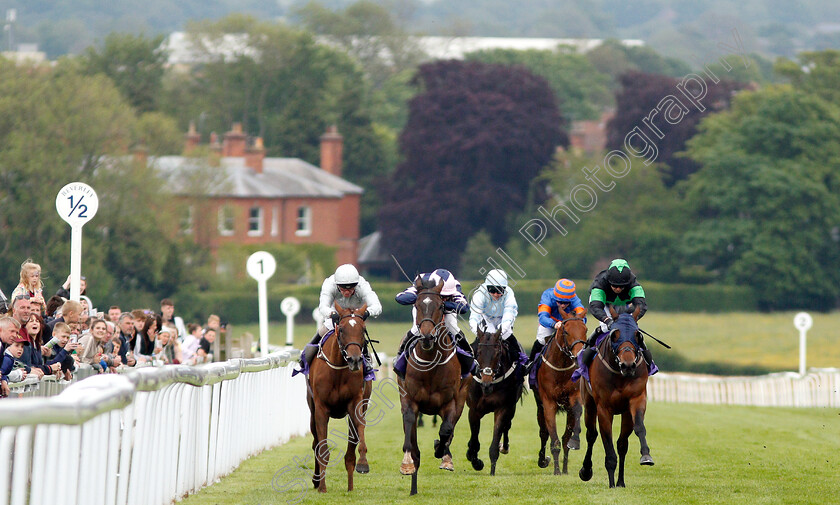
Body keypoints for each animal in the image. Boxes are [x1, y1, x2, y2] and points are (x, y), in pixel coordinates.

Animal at [306, 302, 372, 490]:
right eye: (341, 329)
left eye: (363, 328)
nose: (354, 359)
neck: (338, 371)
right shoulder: (321, 409)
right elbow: (322, 449)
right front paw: (322, 487)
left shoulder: (356, 404)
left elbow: (359, 439)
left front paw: (363, 464)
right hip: (312, 411)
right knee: (315, 442)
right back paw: (316, 480)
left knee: (350, 450)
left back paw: (350, 487)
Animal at [398, 274, 470, 494]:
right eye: (417, 304)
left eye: (440, 306)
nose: (428, 336)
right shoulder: (410, 399)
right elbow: (410, 426)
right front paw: (408, 464)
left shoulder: (450, 401)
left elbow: (446, 430)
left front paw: (442, 452)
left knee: (450, 427)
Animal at [462, 324, 520, 474]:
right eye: (479, 353)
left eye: (497, 354)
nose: (486, 384)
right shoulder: (474, 410)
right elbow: (474, 442)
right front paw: (475, 461)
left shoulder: (503, 408)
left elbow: (495, 441)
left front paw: (492, 471)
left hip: (512, 407)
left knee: (507, 425)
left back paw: (504, 447)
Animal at [536, 310, 588, 474]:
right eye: (566, 331)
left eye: (585, 330)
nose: (578, 356)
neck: (560, 369)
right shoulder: (548, 403)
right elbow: (554, 439)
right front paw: (556, 471)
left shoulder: (574, 397)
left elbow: (576, 413)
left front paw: (575, 441)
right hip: (539, 407)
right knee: (543, 433)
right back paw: (543, 461)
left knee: (565, 438)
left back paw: (564, 468)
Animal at [576, 302, 656, 486]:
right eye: (614, 334)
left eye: (637, 335)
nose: (628, 365)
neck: (620, 374)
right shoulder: (604, 408)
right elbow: (607, 443)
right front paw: (611, 484)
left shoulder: (635, 401)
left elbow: (636, 430)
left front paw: (645, 456)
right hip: (589, 404)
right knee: (591, 435)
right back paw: (586, 470)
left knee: (621, 443)